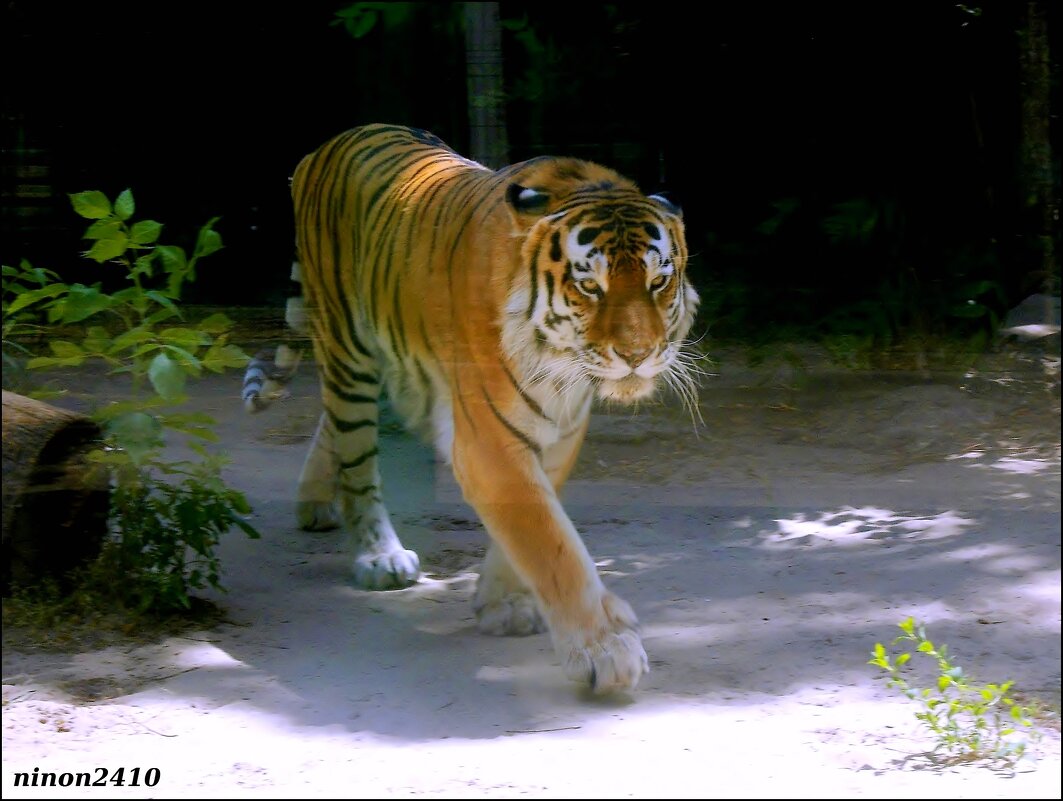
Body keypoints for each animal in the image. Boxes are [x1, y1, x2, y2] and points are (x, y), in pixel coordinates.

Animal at [243, 124, 701, 692]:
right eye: (590, 286)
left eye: (659, 282)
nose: (637, 355)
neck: (561, 367)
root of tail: (329, 143)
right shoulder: (488, 442)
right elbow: (552, 544)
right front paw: (605, 648)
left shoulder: (560, 432)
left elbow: (532, 526)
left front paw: (502, 604)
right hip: (349, 352)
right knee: (355, 455)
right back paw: (379, 556)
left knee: (330, 423)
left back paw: (314, 505)